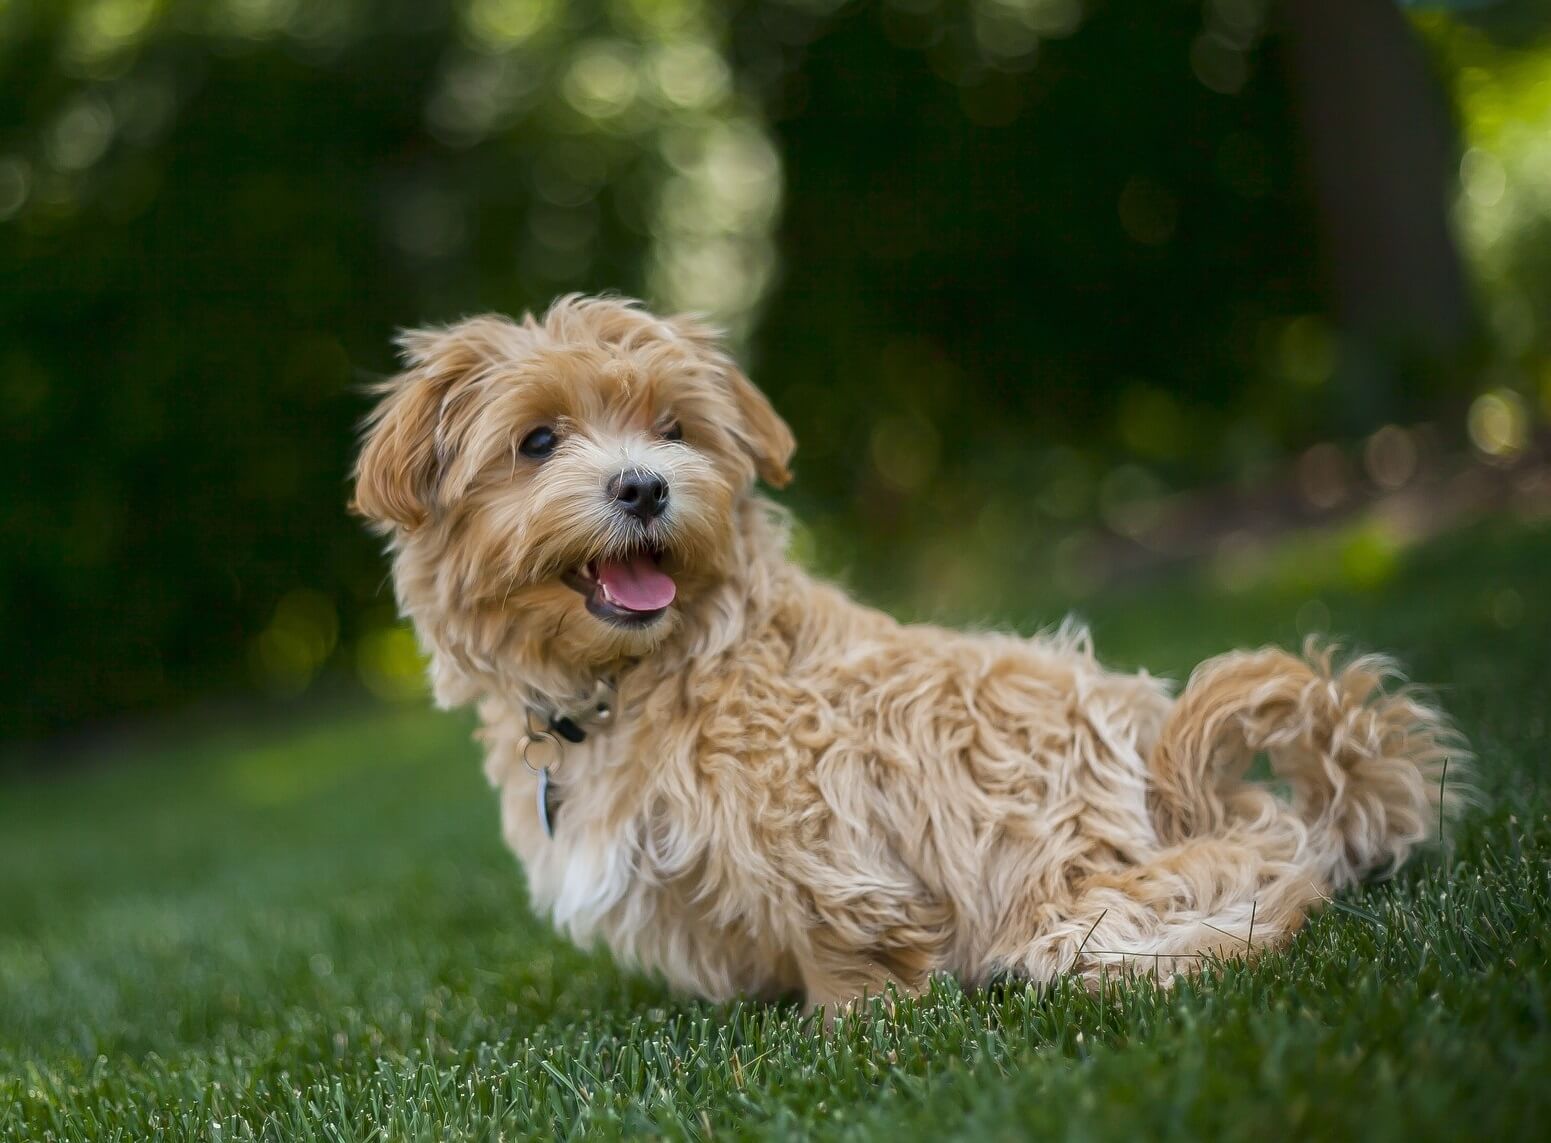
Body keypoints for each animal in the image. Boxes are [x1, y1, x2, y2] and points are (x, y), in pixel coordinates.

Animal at [355, 296, 1464, 1017]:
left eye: (673, 429)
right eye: (538, 441)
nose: (644, 485)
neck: (647, 674)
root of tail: (1177, 775)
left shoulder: (817, 833)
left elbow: (847, 938)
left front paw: (849, 1024)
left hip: (1083, 896)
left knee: (1266, 887)